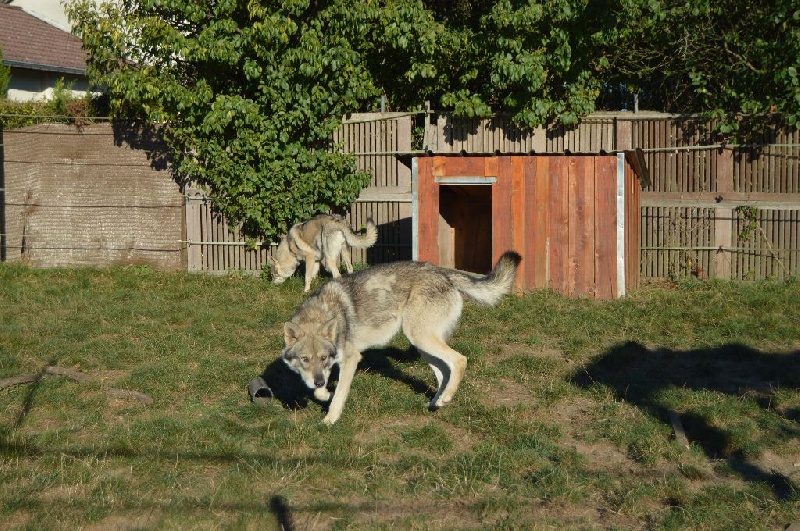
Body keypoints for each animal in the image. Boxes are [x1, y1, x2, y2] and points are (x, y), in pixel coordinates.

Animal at [282, 251, 524, 426]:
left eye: (322, 357)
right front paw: (323, 393)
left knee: (459, 360)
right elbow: (320, 390)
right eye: (305, 359)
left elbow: (339, 395)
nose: (318, 380)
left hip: (421, 338)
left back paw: (445, 398)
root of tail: (442, 272)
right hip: (423, 346)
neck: (322, 313)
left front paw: (329, 419)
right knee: (444, 373)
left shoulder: (351, 359)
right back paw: (437, 403)